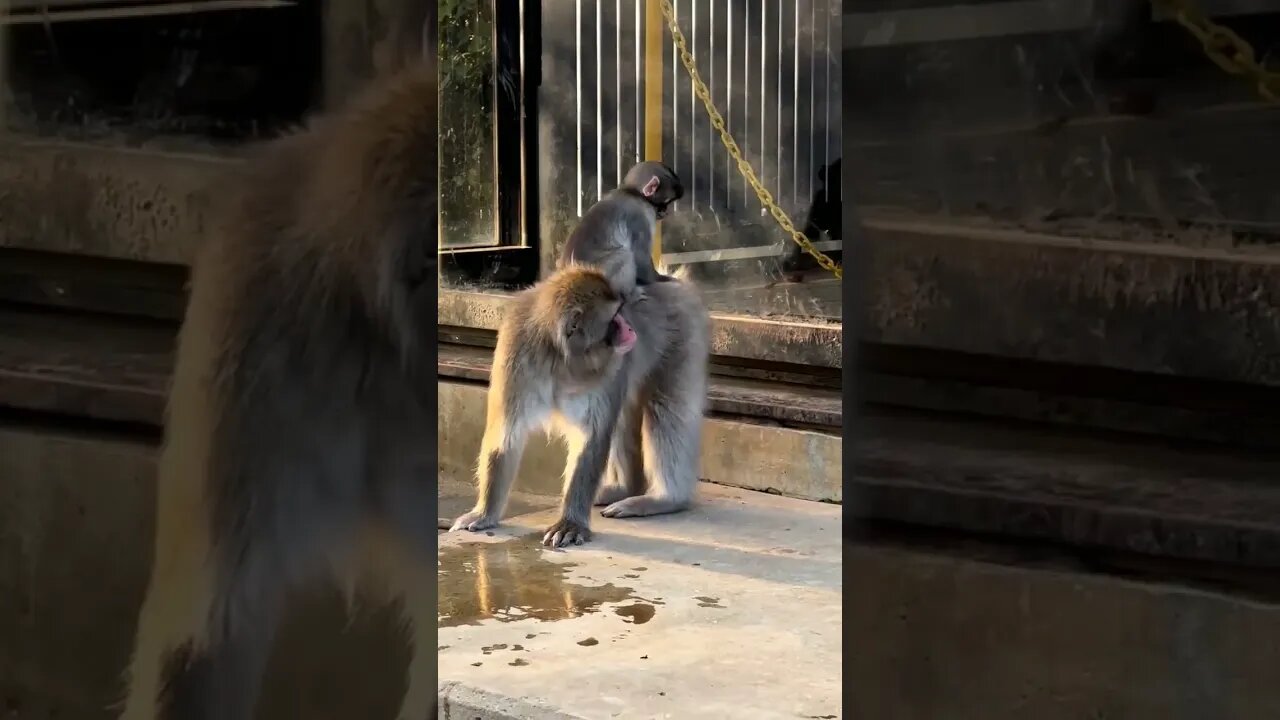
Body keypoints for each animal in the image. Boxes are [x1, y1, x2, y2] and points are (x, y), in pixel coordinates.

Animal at [449, 264, 709, 548]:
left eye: (621, 312)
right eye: (615, 317)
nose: (631, 329)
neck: (562, 359)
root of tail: (674, 282)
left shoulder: (608, 370)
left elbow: (593, 437)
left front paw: (570, 523)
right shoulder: (515, 359)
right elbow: (506, 435)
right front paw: (484, 513)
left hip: (682, 336)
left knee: (666, 409)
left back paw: (665, 499)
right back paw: (624, 489)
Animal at [558, 161, 685, 294]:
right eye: (666, 202)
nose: (666, 212)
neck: (632, 192)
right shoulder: (641, 215)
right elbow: (640, 258)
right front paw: (659, 278)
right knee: (624, 255)